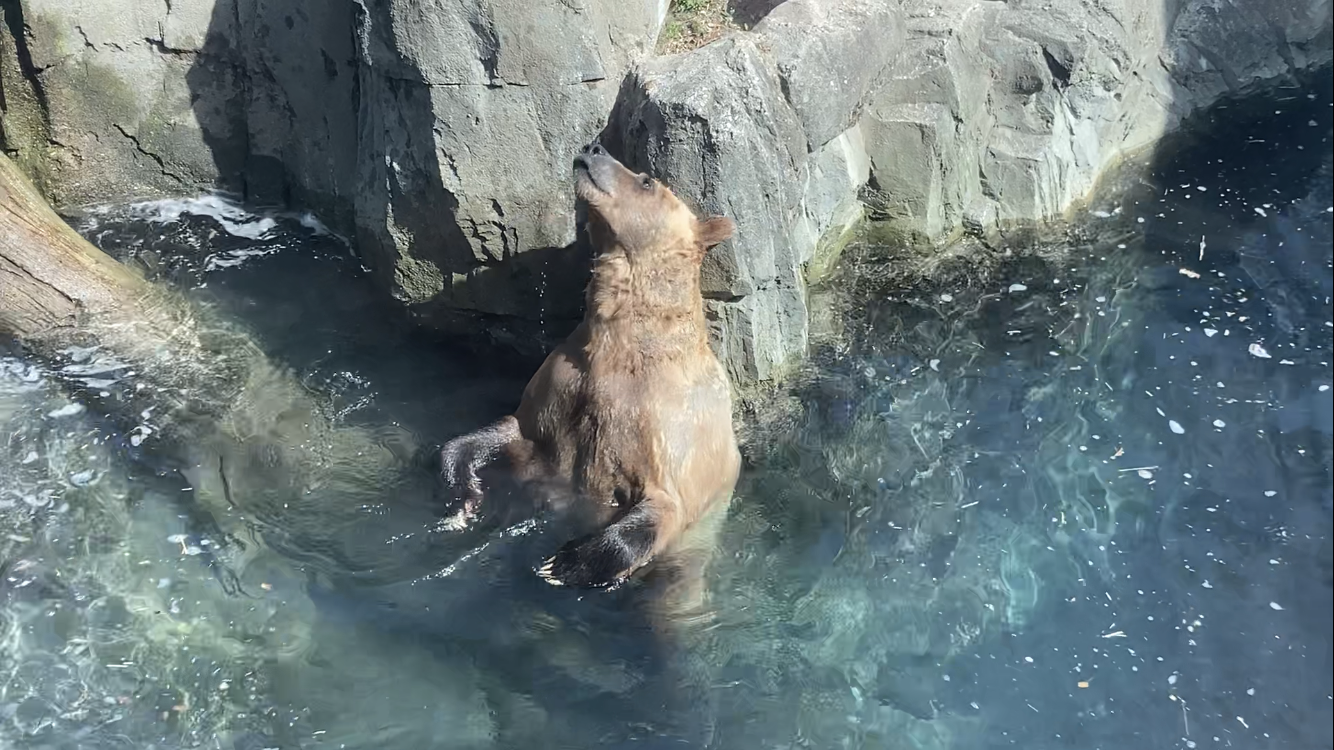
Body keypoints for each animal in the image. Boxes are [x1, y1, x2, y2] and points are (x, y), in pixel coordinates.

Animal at [437, 141, 742, 594]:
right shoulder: (562, 385)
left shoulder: (671, 429)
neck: (624, 344)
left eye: (646, 180)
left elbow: (661, 503)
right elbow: (505, 430)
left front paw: (563, 563)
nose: (593, 147)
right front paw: (464, 493)